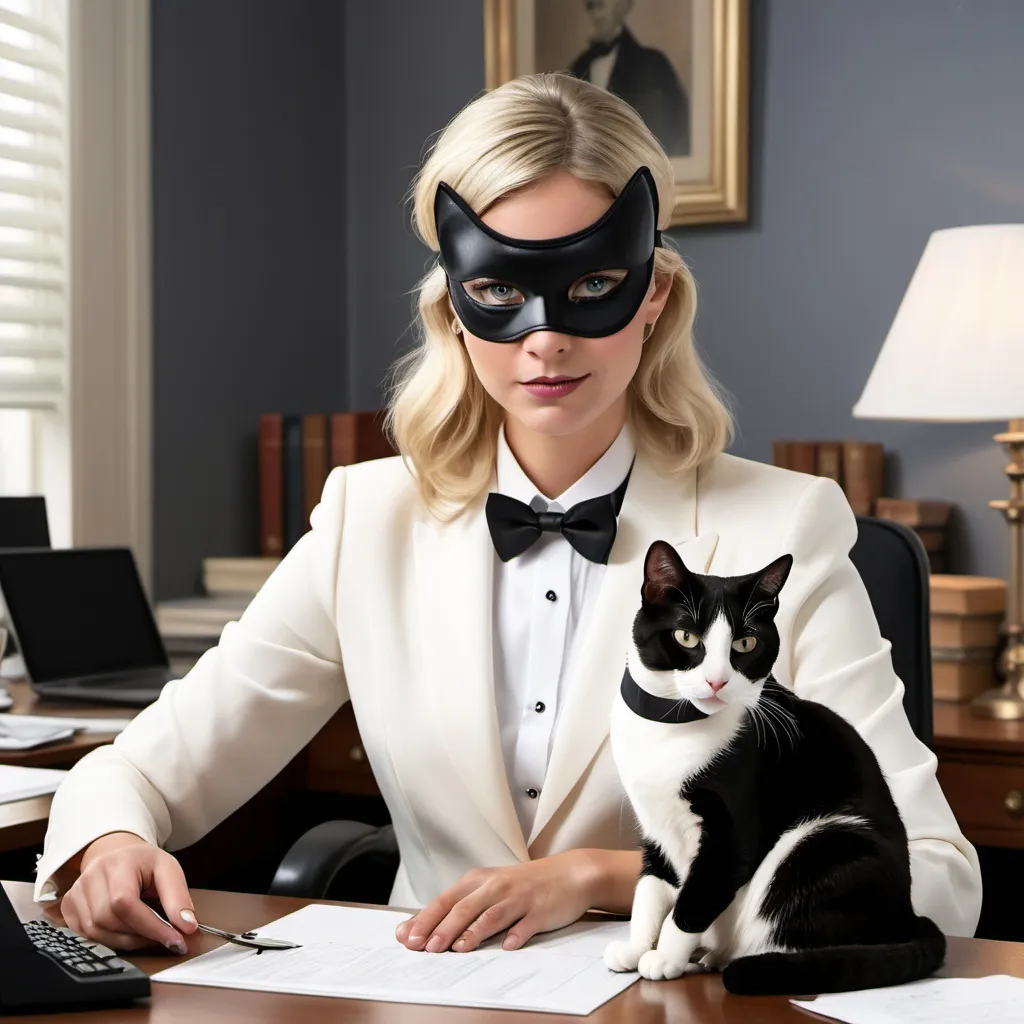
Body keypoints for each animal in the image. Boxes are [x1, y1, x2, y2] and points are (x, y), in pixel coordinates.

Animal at [602, 540, 946, 995]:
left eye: (746, 643)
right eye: (686, 636)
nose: (716, 681)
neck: (672, 727)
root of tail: (908, 915)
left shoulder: (733, 832)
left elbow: (696, 897)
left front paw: (665, 958)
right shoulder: (655, 824)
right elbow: (650, 888)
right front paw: (635, 946)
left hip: (824, 843)